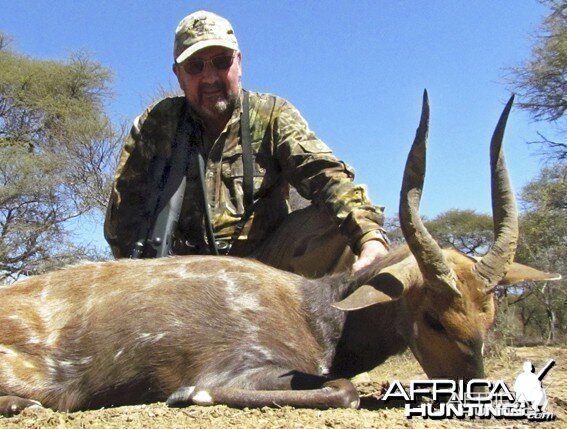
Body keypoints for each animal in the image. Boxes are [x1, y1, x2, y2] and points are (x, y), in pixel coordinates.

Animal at [0, 91, 560, 414]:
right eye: (435, 319)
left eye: (489, 318)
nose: (477, 396)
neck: (317, 309)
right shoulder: (241, 366)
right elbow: (343, 390)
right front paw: (187, 395)